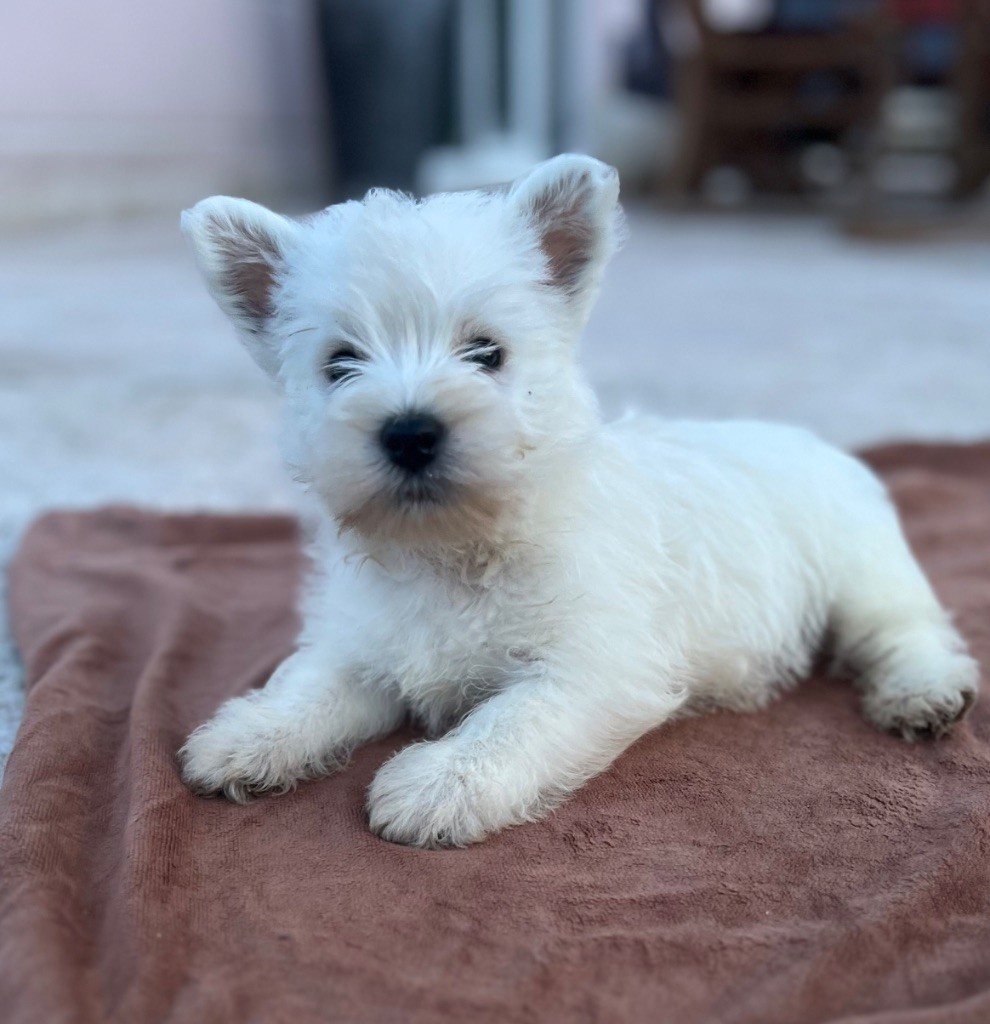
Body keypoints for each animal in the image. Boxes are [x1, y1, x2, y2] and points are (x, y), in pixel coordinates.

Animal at [176, 153, 974, 847]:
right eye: (340, 364)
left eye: (487, 352)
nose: (409, 432)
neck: (454, 550)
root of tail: (822, 443)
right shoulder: (363, 645)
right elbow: (310, 685)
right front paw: (247, 737)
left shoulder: (594, 665)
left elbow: (514, 718)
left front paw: (440, 785)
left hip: (862, 575)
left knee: (908, 629)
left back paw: (923, 695)